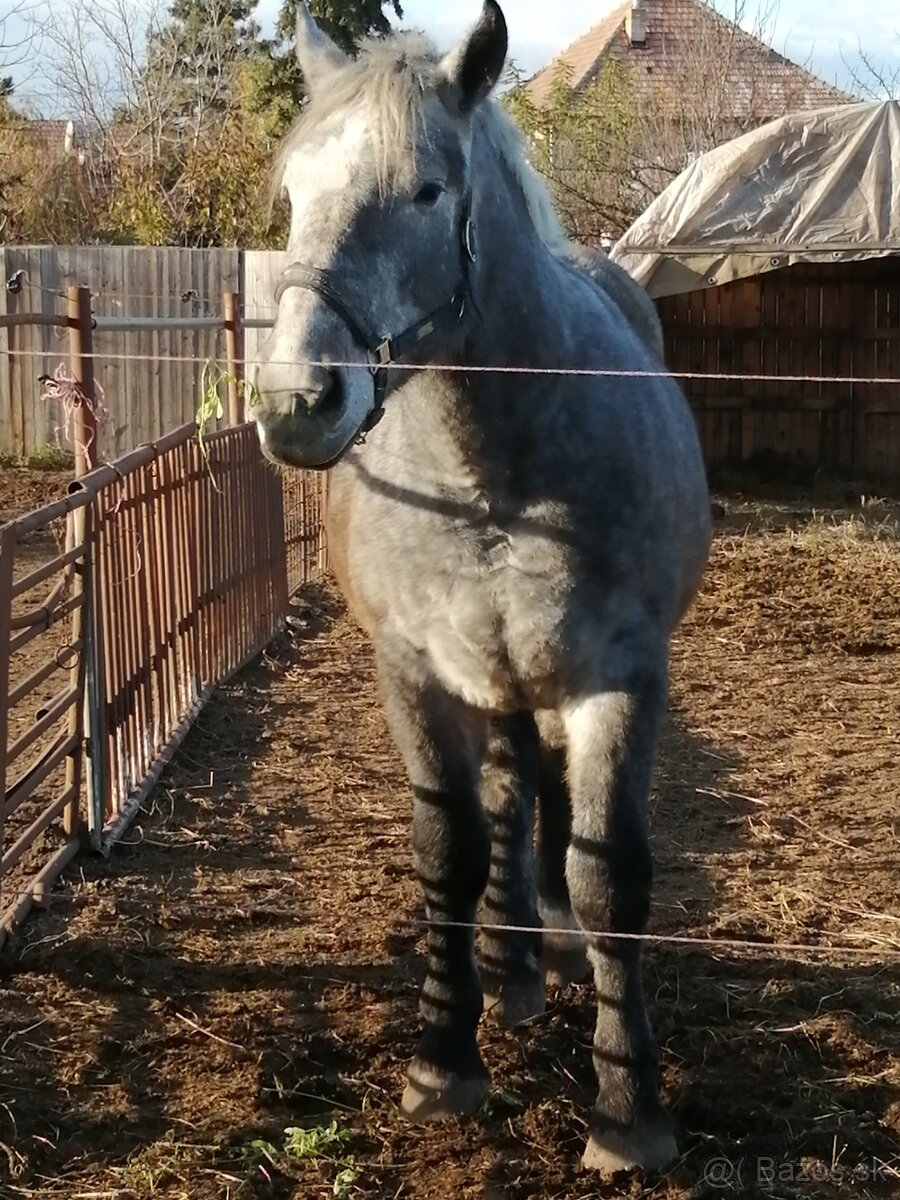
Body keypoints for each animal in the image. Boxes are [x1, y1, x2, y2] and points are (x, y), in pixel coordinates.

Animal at [252, 0, 710, 1176]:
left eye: (426, 190)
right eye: (294, 192)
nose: (295, 403)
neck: (490, 477)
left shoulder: (617, 681)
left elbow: (608, 877)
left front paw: (628, 1109)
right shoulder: (414, 673)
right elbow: (449, 850)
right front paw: (443, 1061)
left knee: (541, 801)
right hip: (490, 680)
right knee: (508, 795)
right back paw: (508, 971)